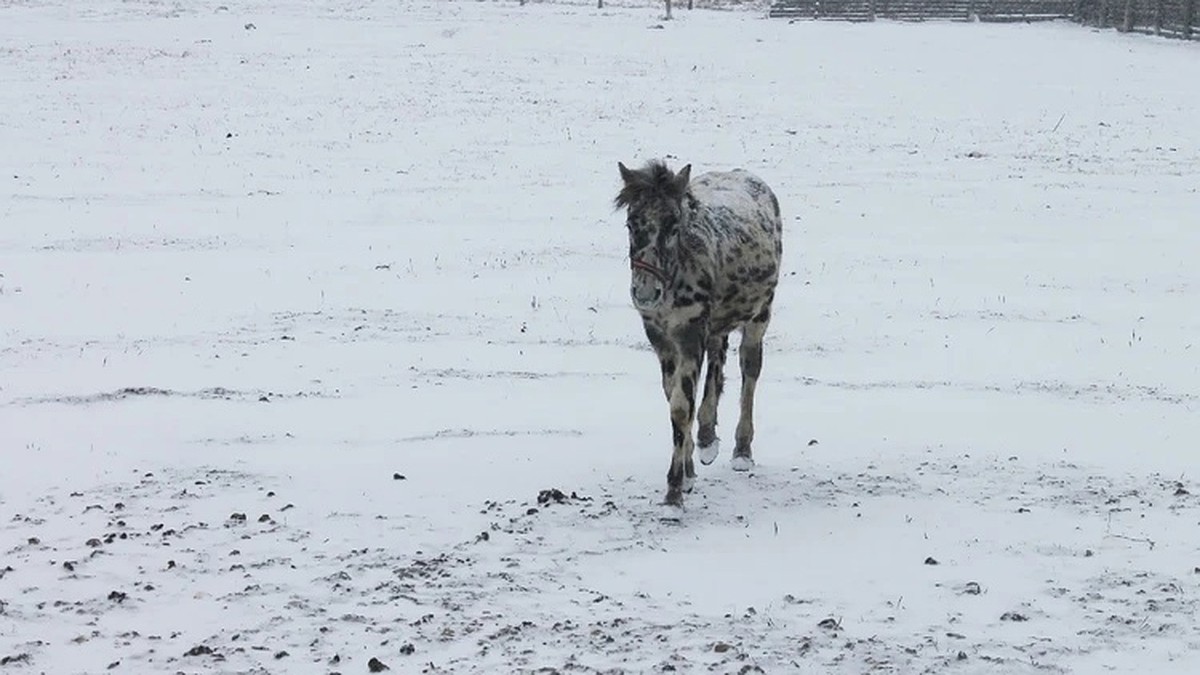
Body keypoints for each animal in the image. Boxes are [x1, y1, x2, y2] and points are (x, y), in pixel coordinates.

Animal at [614, 158, 782, 504]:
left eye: (673, 224)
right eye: (631, 223)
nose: (646, 293)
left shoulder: (690, 331)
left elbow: (681, 406)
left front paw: (674, 489)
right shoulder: (660, 337)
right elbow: (675, 398)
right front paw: (689, 469)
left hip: (760, 314)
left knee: (749, 368)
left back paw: (741, 450)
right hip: (717, 322)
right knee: (718, 361)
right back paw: (707, 437)